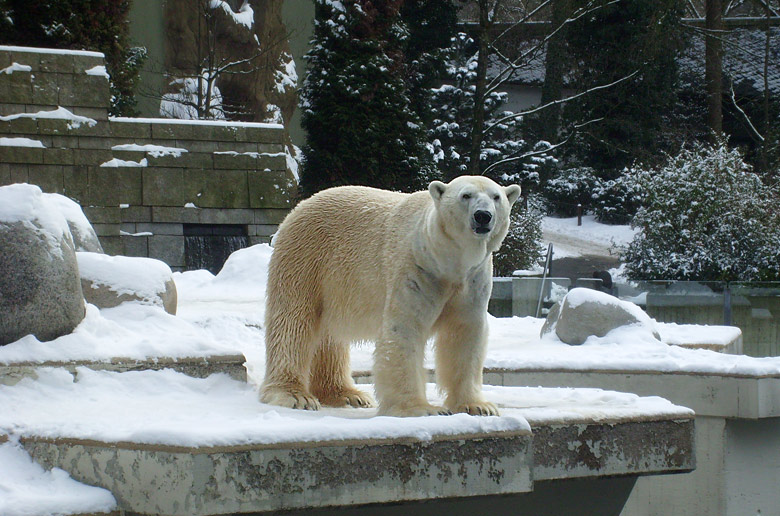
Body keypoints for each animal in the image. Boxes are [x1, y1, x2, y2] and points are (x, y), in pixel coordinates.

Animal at [258, 175, 520, 418]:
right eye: (465, 195)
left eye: (496, 197)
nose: (483, 216)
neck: (446, 259)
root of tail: (299, 207)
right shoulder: (415, 269)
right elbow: (404, 330)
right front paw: (422, 408)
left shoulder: (472, 280)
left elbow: (465, 335)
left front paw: (478, 406)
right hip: (307, 259)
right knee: (293, 323)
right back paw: (295, 395)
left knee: (329, 337)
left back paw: (346, 394)